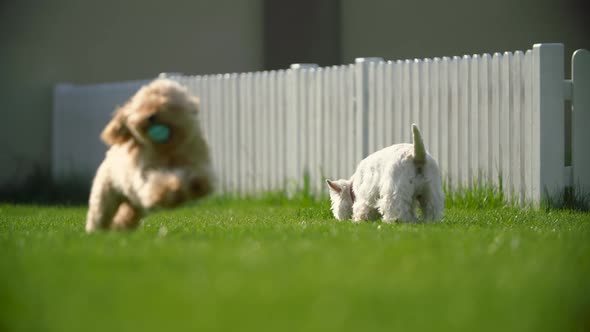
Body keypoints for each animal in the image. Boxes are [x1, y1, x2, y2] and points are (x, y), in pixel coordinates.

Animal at [86, 79, 216, 232]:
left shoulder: (195, 157)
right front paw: (172, 189)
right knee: (99, 214)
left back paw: (121, 227)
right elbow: (158, 182)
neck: (166, 148)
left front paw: (195, 184)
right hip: (106, 194)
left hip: (133, 203)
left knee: (129, 213)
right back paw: (95, 232)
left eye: (165, 102)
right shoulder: (145, 174)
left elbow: (199, 174)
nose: (151, 117)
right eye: (142, 107)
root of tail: (111, 152)